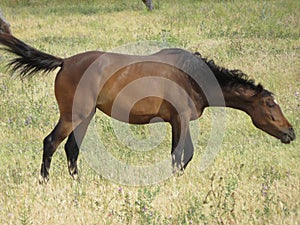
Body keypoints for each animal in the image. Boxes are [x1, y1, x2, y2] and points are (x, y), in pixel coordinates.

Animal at [0, 33, 296, 183]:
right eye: (270, 104)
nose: (291, 132)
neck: (191, 77)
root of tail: (65, 61)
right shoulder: (180, 119)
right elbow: (182, 155)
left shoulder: (177, 122)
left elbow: (181, 156)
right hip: (72, 116)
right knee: (50, 142)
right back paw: (45, 183)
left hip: (84, 117)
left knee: (71, 149)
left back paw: (77, 184)